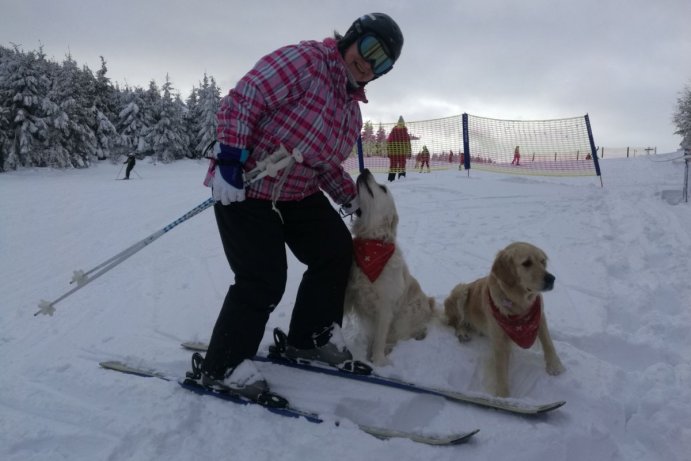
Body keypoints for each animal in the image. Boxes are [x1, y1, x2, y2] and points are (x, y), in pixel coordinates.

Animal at [344, 167, 436, 364]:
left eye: (382, 188)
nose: (365, 169)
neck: (372, 244)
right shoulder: (350, 293)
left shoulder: (385, 307)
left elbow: (380, 338)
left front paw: (379, 362)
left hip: (405, 317)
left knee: (400, 336)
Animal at [446, 241, 564, 396]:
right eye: (527, 263)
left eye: (543, 261)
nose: (551, 278)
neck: (520, 305)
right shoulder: (499, 338)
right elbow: (500, 368)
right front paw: (503, 395)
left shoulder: (539, 316)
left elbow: (548, 342)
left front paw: (555, 366)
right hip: (461, 290)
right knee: (456, 322)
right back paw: (462, 333)